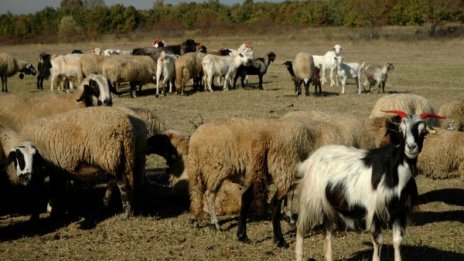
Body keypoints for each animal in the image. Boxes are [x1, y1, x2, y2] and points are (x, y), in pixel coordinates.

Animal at [296, 109, 444, 260]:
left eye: (423, 131)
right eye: (401, 130)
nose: (411, 147)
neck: (394, 172)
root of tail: (311, 160)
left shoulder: (400, 211)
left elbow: (397, 241)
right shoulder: (374, 210)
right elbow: (378, 242)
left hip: (329, 206)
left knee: (327, 232)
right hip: (311, 201)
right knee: (301, 229)